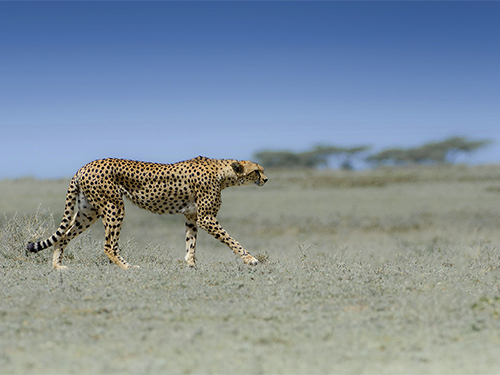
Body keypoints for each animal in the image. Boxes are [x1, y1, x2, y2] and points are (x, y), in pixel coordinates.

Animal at [25, 156, 268, 270]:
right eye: (257, 171)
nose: (266, 179)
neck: (223, 173)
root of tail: (84, 166)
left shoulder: (191, 217)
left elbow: (191, 243)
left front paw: (191, 265)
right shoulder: (206, 218)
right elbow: (231, 240)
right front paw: (250, 259)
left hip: (88, 211)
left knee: (64, 236)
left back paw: (58, 266)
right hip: (114, 206)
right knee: (108, 245)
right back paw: (128, 267)